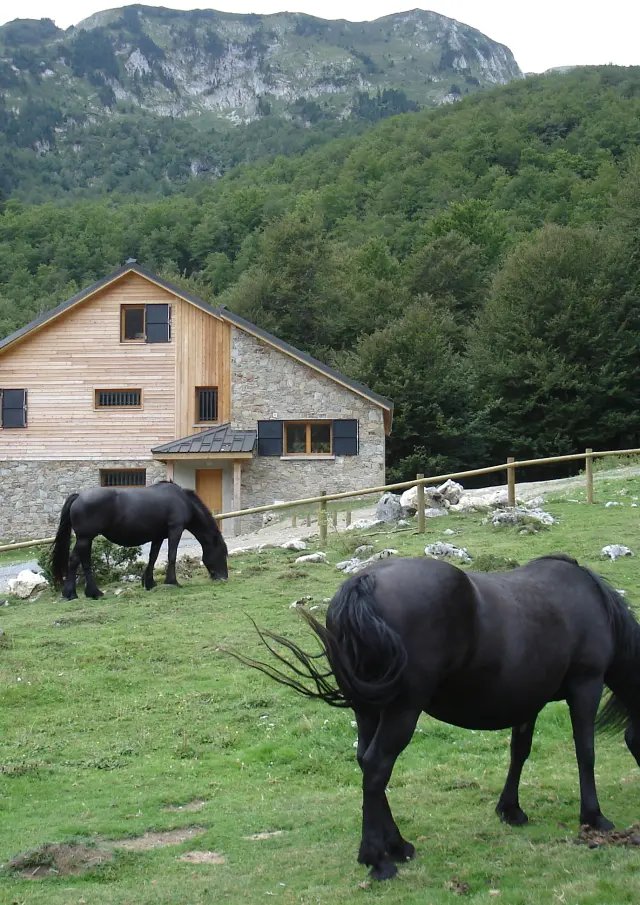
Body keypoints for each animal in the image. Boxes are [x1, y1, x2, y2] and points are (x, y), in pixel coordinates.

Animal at [50, 481, 228, 600]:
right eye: (222, 554)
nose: (223, 577)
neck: (182, 500)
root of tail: (79, 496)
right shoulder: (175, 530)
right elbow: (171, 556)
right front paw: (172, 582)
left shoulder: (158, 536)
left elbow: (153, 557)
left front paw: (149, 583)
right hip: (85, 538)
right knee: (75, 560)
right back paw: (73, 593)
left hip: (86, 539)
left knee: (83, 561)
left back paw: (90, 593)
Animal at [230, 554, 640, 881]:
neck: (593, 603)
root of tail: (364, 584)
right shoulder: (585, 685)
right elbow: (585, 752)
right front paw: (594, 817)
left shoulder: (529, 702)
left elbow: (519, 753)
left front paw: (510, 809)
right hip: (402, 709)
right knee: (377, 766)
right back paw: (378, 860)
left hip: (369, 709)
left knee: (366, 764)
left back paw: (397, 846)